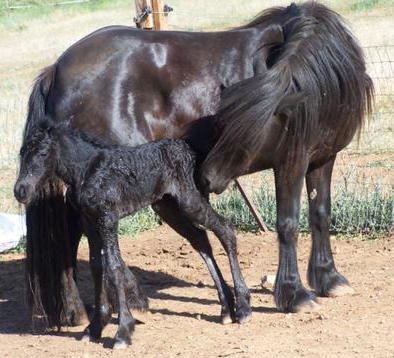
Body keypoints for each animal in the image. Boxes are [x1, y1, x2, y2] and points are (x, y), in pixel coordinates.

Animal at [14, 119, 252, 346]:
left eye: (43, 153)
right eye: (22, 153)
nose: (20, 191)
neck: (87, 172)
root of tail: (189, 151)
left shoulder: (108, 219)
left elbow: (114, 265)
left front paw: (123, 331)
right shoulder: (90, 221)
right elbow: (97, 265)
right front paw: (95, 327)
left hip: (189, 201)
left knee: (225, 229)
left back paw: (242, 307)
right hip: (168, 207)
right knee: (201, 239)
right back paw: (226, 308)